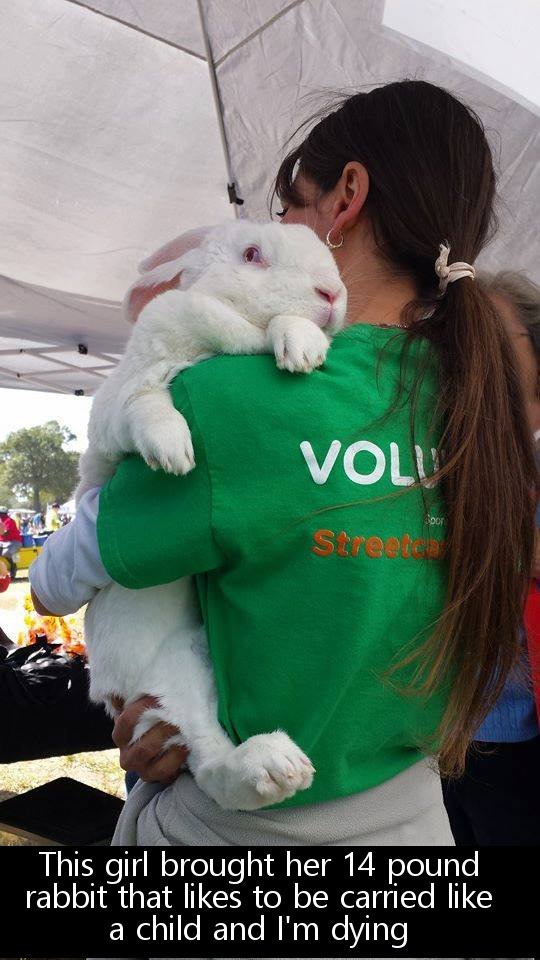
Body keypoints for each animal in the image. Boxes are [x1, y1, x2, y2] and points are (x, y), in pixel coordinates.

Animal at [77, 219, 346, 808]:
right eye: (252, 255)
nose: (332, 295)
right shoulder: (116, 412)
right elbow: (142, 404)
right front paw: (173, 452)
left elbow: (281, 329)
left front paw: (303, 347)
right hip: (173, 676)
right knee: (208, 761)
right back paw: (275, 765)